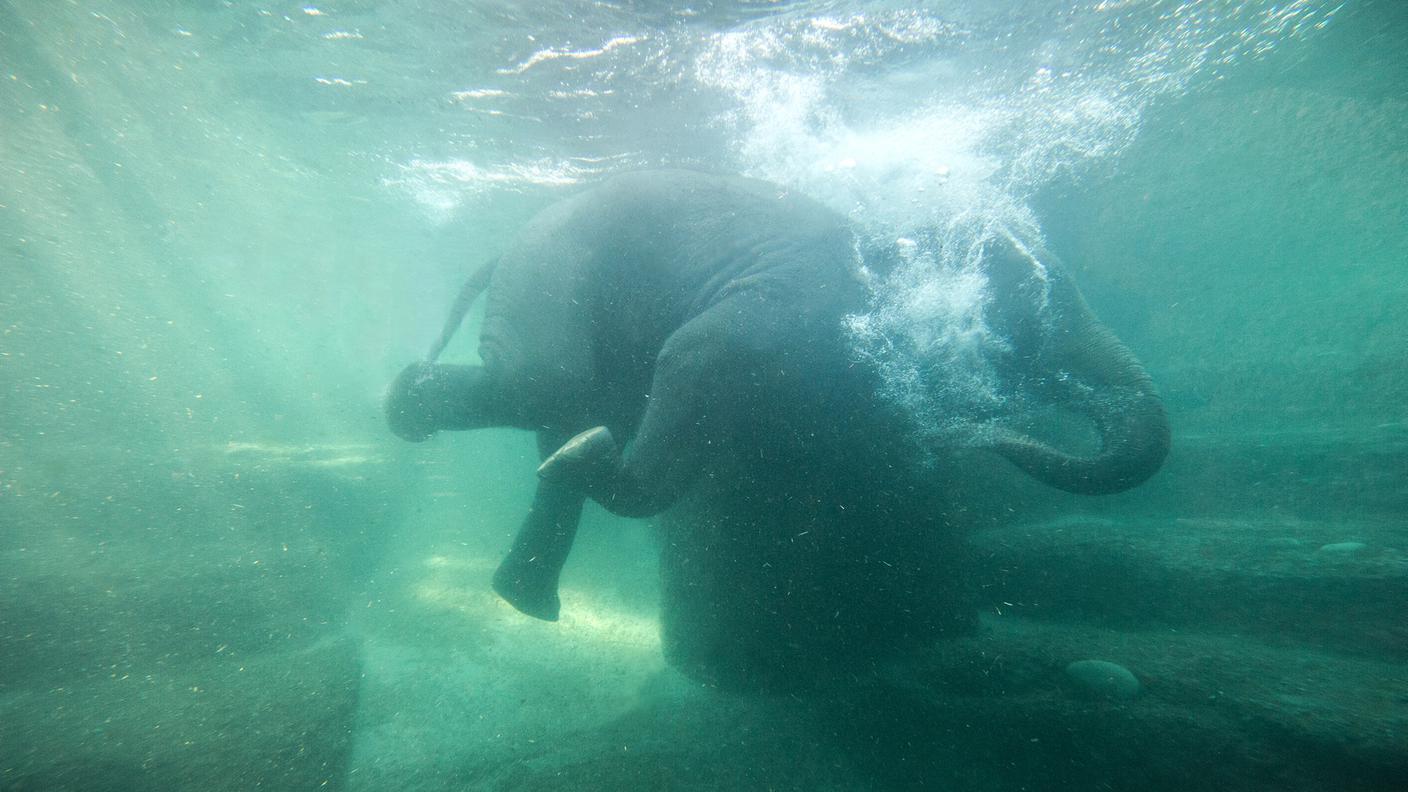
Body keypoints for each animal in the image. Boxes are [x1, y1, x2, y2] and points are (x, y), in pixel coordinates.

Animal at [385, 167, 1165, 684]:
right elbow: (692, 350)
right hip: (550, 274)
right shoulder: (795, 303)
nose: (978, 432)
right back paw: (408, 407)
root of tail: (499, 251)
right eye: (1038, 313)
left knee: (566, 412)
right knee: (547, 386)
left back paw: (532, 577)